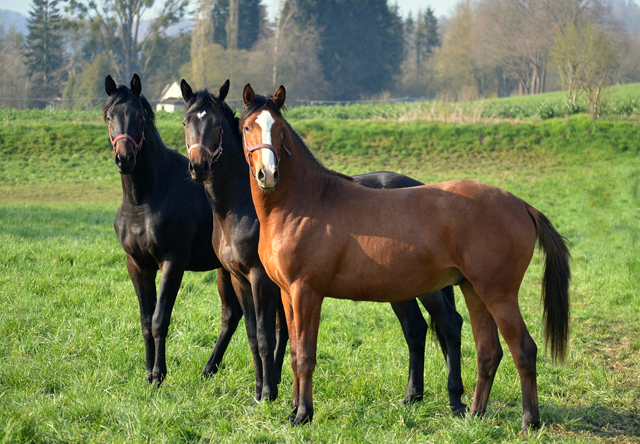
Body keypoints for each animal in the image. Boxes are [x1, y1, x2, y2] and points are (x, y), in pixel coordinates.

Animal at [103, 73, 270, 392]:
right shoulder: (137, 265)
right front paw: (148, 373)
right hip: (225, 270)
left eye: (139, 116)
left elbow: (159, 319)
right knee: (232, 316)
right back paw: (209, 369)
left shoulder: (173, 262)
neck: (144, 198)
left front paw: (159, 375)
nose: (125, 158)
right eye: (109, 117)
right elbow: (146, 321)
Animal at [179, 79, 464, 412]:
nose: (198, 166)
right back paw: (412, 396)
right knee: (415, 329)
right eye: (186, 121)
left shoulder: (262, 279)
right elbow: (253, 334)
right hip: (399, 286)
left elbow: (267, 336)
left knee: (449, 323)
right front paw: (261, 390)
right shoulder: (239, 277)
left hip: (426, 286)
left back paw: (455, 401)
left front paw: (268, 393)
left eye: (216, 124)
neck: (238, 209)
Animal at [239, 84, 568, 434]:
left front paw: (303, 415)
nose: (267, 174)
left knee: (523, 349)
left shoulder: (307, 293)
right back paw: (474, 415)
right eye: (247, 128)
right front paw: (292, 410)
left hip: (498, 293)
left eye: (279, 129)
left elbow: (305, 356)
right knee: (488, 351)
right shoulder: (287, 295)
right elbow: (292, 353)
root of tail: (521, 205)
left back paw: (529, 422)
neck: (303, 203)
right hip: (474, 290)